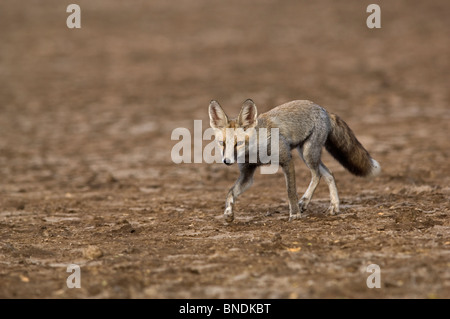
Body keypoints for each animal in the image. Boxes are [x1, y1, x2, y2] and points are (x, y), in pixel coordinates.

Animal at [207, 99, 380, 222]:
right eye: (222, 143)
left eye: (239, 143)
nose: (227, 161)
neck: (255, 152)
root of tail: (323, 109)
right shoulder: (247, 175)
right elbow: (231, 192)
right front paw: (228, 213)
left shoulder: (287, 160)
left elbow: (290, 191)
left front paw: (295, 214)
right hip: (305, 154)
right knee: (329, 174)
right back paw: (334, 206)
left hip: (308, 154)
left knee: (317, 175)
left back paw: (305, 202)